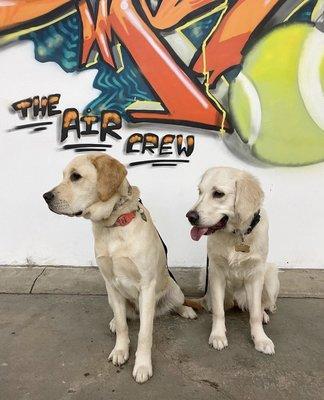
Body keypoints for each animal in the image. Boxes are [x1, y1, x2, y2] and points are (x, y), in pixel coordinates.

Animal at [42, 152, 195, 382]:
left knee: (172, 305)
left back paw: (185, 310)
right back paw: (115, 321)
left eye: (76, 176)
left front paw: (142, 365)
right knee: (122, 315)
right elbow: (124, 326)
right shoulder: (111, 283)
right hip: (112, 297)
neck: (113, 224)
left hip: (174, 291)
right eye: (64, 175)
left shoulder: (147, 286)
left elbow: (144, 334)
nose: (45, 196)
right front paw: (120, 350)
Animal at [186, 167, 280, 354]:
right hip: (205, 273)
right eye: (200, 191)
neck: (237, 234)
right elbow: (219, 312)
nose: (190, 216)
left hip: (270, 274)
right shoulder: (216, 272)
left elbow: (255, 314)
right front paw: (218, 335)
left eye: (218, 193)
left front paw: (261, 339)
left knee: (262, 304)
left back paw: (264, 313)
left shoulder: (255, 275)